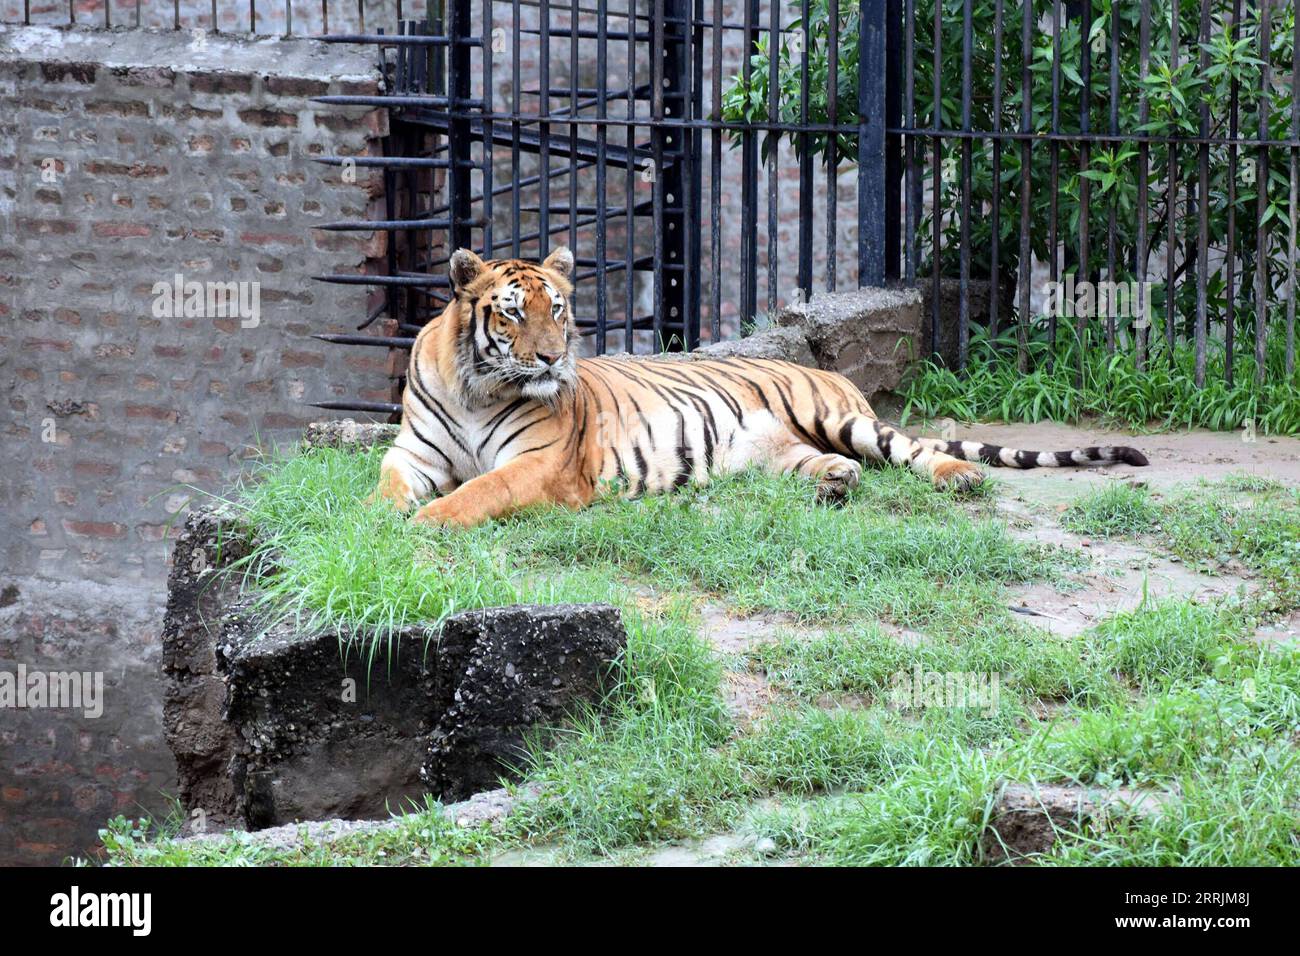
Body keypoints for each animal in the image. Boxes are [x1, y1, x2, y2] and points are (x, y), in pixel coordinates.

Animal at [369, 247, 1149, 528]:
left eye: (557, 309)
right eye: (512, 313)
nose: (555, 360)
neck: (479, 389)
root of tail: (825, 368)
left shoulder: (544, 465)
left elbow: (480, 491)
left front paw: (426, 523)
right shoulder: (414, 453)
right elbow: (384, 482)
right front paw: (383, 517)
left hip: (844, 418)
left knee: (915, 451)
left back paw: (958, 478)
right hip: (773, 450)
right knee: (821, 465)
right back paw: (834, 484)